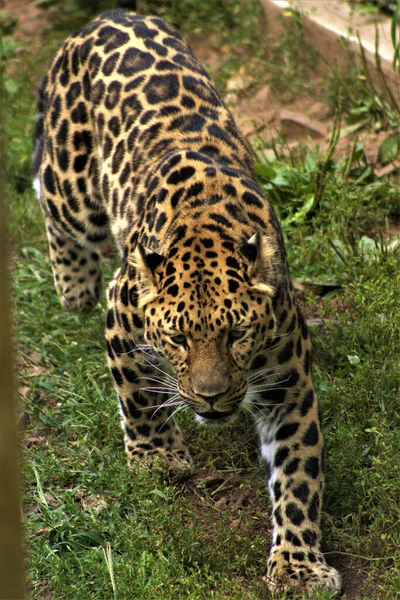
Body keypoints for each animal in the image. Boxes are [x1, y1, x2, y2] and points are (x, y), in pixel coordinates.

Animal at [32, 10, 342, 596]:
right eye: (177, 339)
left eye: (237, 334)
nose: (212, 398)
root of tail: (108, 16)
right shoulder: (122, 313)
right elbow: (137, 395)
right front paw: (156, 459)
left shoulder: (288, 386)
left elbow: (299, 477)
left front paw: (298, 565)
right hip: (72, 186)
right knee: (51, 203)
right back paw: (73, 287)